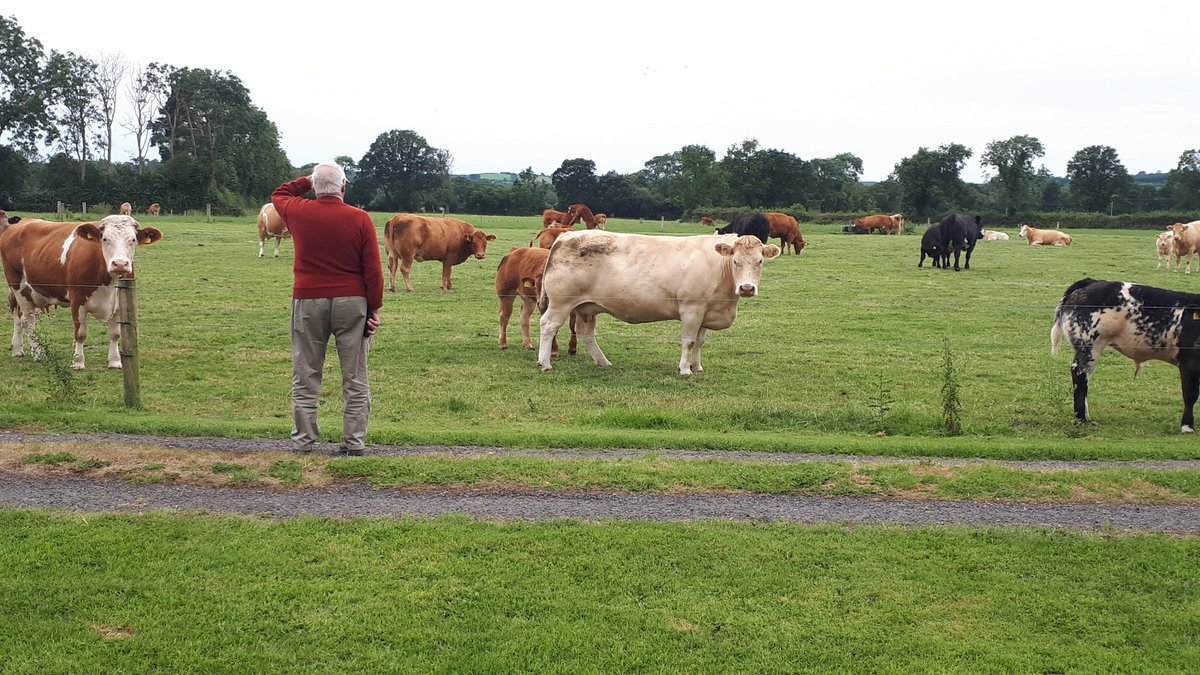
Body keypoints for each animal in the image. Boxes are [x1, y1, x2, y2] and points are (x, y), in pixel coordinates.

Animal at [1, 215, 163, 370]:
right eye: (105, 239)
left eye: (133, 240)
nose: (120, 264)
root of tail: (20, 223)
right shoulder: (77, 301)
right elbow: (80, 334)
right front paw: (78, 362)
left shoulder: (118, 303)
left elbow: (115, 334)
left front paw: (115, 361)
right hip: (18, 286)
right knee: (29, 322)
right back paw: (38, 354)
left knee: (19, 317)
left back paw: (17, 350)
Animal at [536, 231, 780, 375]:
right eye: (735, 261)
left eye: (760, 261)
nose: (747, 288)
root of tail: (567, 235)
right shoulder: (692, 309)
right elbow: (689, 341)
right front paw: (685, 369)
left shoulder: (706, 311)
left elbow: (700, 342)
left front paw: (697, 366)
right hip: (561, 303)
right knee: (548, 326)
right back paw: (545, 363)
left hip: (585, 307)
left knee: (586, 333)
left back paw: (603, 362)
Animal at [1052, 278, 1200, 433]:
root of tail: (1092, 282)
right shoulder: (1190, 362)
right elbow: (1191, 394)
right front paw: (1187, 426)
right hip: (1089, 347)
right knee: (1079, 375)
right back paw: (1083, 420)